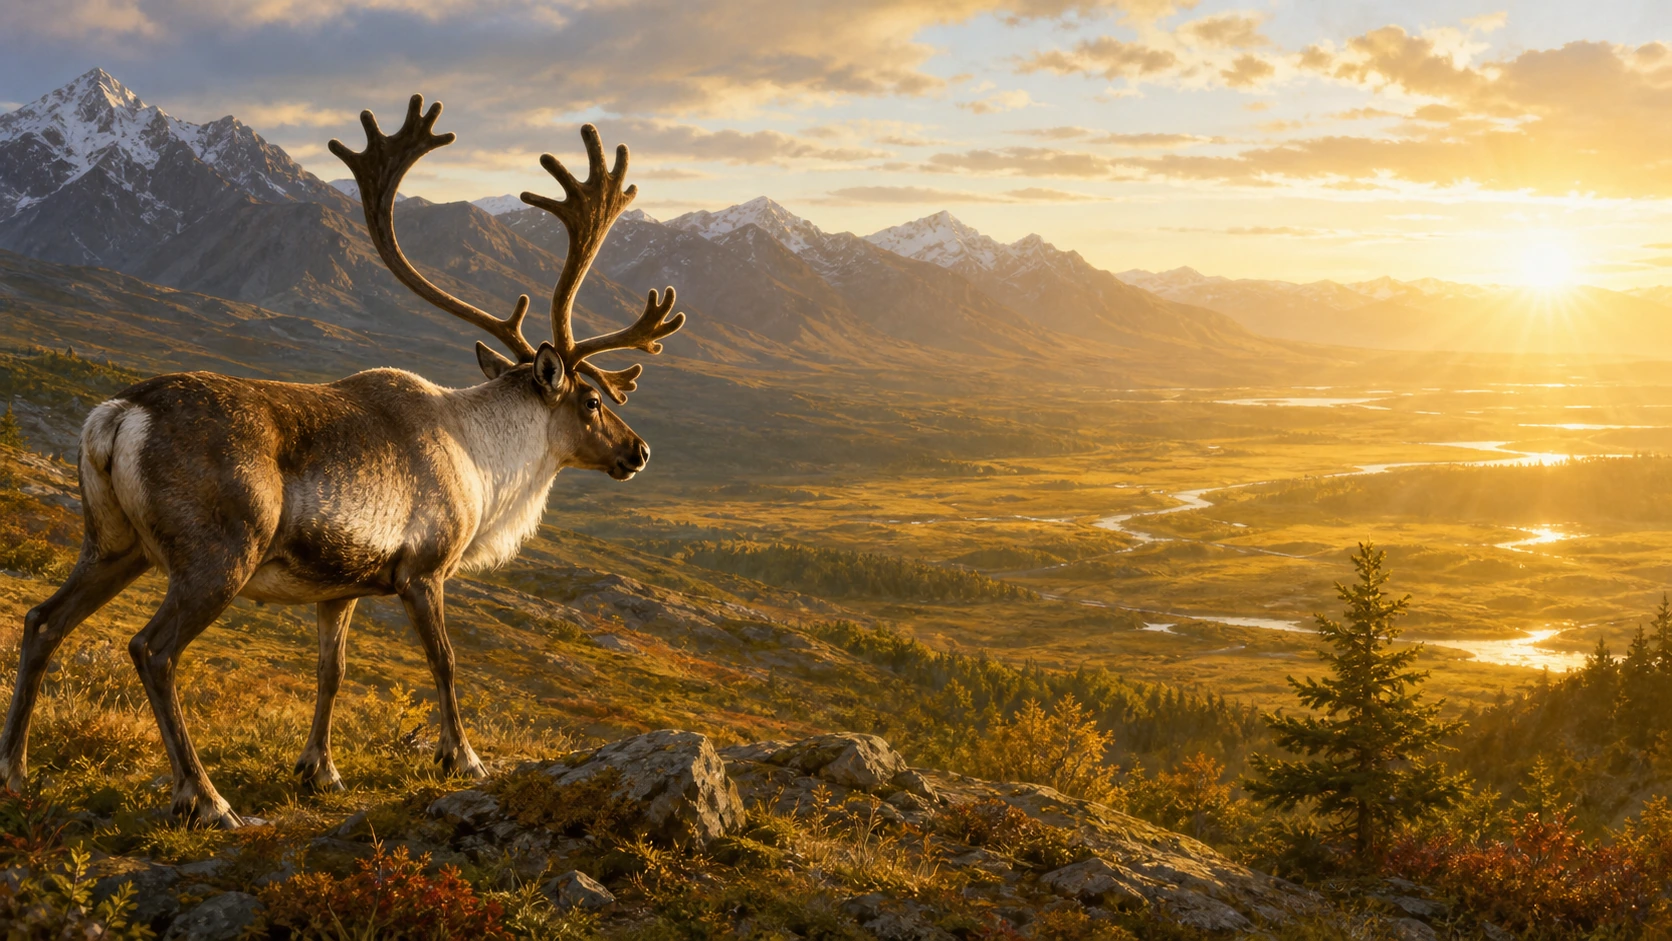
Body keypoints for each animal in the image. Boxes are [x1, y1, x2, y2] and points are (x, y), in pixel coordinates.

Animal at [0, 95, 684, 828]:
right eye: (592, 399)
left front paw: (319, 769)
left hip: (114, 544)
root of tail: (121, 413)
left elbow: (334, 670)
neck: (480, 456)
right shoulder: (423, 570)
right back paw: (206, 798)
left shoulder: (341, 586)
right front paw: (464, 758)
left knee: (43, 619)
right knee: (152, 650)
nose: (640, 451)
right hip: (217, 556)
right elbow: (445, 661)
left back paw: (14, 771)